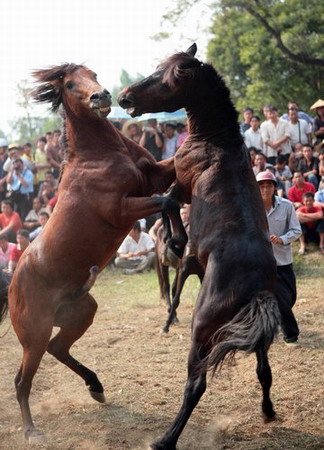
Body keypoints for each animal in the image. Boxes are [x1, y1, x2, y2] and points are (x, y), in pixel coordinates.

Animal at [0, 63, 186, 442]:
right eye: (71, 83)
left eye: (94, 74)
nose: (102, 96)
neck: (100, 156)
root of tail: (12, 283)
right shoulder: (122, 208)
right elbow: (167, 201)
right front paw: (175, 243)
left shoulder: (154, 176)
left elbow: (171, 188)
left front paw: (176, 242)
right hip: (34, 335)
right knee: (22, 380)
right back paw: (31, 430)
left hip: (82, 311)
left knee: (58, 348)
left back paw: (96, 387)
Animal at [117, 43, 280, 450]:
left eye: (164, 78)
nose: (125, 98)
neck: (216, 140)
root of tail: (255, 290)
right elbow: (166, 205)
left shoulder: (182, 182)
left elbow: (167, 202)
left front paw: (176, 242)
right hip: (256, 335)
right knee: (264, 370)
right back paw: (268, 412)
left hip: (202, 330)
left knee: (196, 384)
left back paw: (165, 439)